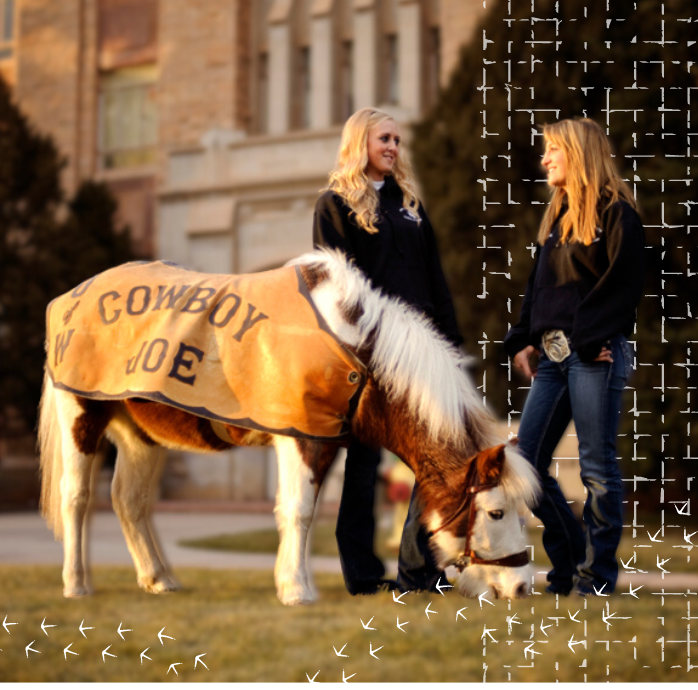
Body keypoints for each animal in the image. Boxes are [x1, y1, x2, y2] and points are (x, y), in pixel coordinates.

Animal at [38, 249, 540, 600]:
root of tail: (69, 298)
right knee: (76, 498)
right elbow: (298, 511)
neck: (353, 349)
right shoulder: (301, 438)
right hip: (80, 412)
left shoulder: (321, 437)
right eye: (496, 512)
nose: (522, 586)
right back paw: (76, 584)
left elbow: (300, 509)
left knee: (129, 501)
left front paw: (288, 582)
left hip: (139, 433)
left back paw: (158, 578)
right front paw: (298, 590)